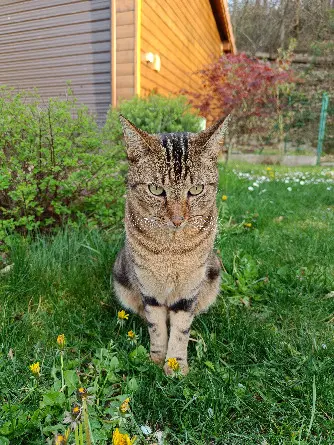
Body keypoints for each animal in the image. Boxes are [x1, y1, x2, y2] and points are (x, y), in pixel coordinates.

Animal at [113, 115, 228, 374]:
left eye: (196, 189)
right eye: (156, 189)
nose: (177, 219)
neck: (171, 250)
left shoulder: (189, 289)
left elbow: (180, 330)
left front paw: (176, 366)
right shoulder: (148, 287)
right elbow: (156, 327)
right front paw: (156, 360)